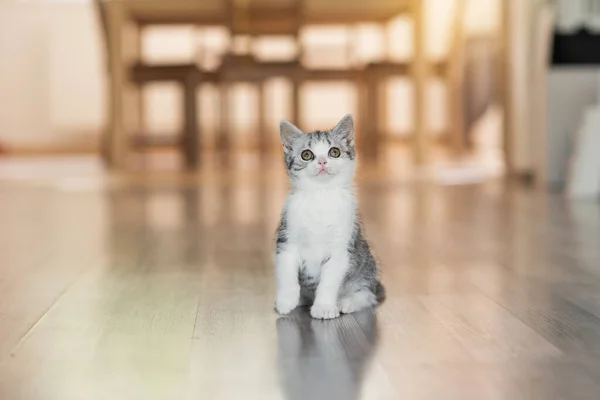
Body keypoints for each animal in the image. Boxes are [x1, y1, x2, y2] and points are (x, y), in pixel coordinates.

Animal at [274, 115, 382, 318]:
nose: (323, 161)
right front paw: (286, 300)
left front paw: (324, 307)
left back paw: (347, 302)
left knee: (367, 294)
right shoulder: (287, 237)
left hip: (367, 265)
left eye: (334, 152)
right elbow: (286, 272)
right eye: (306, 155)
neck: (321, 195)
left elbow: (329, 281)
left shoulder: (341, 246)